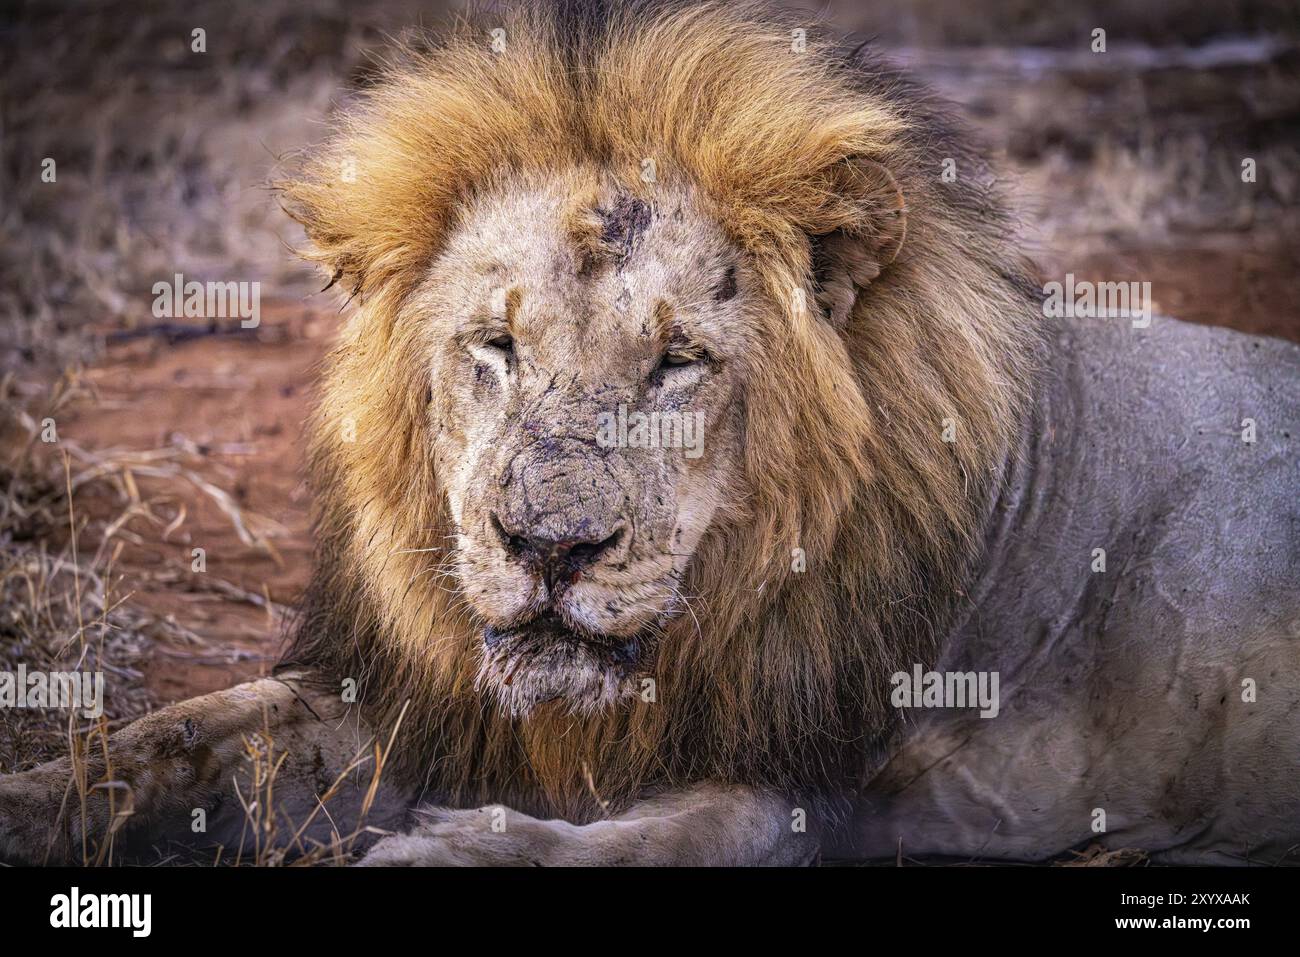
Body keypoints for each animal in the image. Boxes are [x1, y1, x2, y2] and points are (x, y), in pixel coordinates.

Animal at [2, 0, 1298, 866]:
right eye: (496, 345)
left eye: (677, 363)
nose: (548, 550)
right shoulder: (419, 696)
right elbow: (178, 737)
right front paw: (34, 802)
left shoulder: (808, 782)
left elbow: (647, 843)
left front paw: (450, 850)